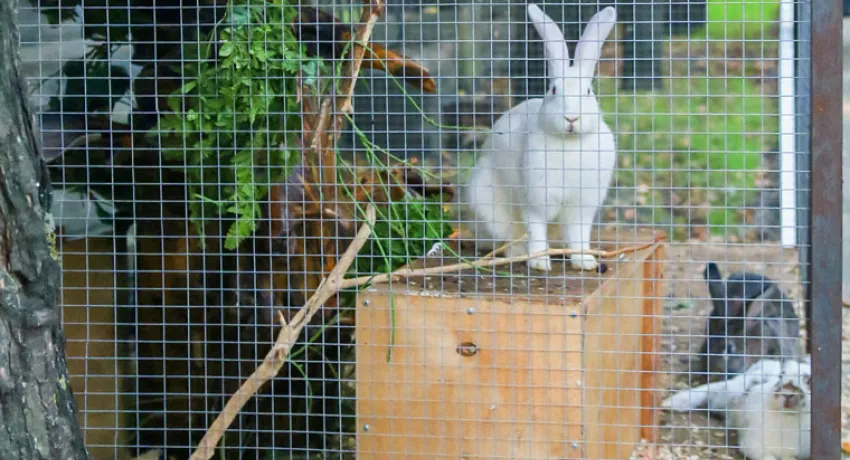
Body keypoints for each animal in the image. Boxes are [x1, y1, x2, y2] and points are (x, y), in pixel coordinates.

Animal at [458, 2, 616, 274]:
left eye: (588, 91)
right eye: (553, 90)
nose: (571, 118)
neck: (570, 143)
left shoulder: (582, 206)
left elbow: (579, 234)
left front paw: (584, 261)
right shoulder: (535, 200)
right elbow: (536, 229)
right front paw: (541, 262)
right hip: (486, 204)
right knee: (507, 240)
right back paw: (520, 253)